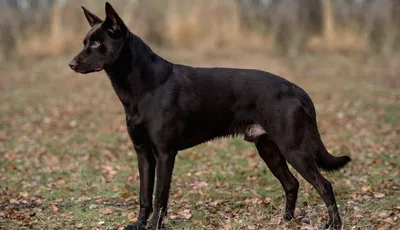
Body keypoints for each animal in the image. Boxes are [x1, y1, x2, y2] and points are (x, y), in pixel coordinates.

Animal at [70, 2, 352, 229]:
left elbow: (160, 196)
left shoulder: (165, 154)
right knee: (292, 184)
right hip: (269, 149)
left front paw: (153, 226)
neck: (146, 86)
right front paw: (139, 225)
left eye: (96, 43)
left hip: (294, 149)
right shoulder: (143, 153)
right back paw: (286, 220)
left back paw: (333, 223)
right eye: (85, 42)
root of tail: (298, 90)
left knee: (324, 185)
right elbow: (144, 196)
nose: (71, 64)